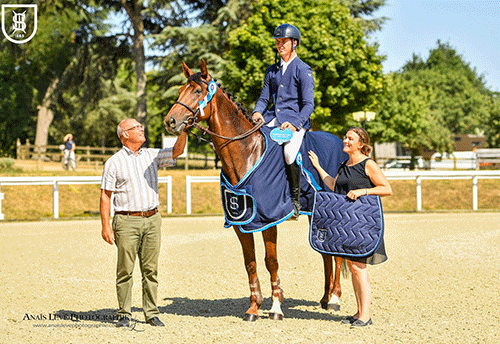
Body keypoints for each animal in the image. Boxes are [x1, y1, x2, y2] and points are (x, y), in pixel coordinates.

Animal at [164, 60, 344, 322]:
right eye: (179, 90)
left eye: (197, 91)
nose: (170, 122)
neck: (246, 151)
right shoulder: (240, 222)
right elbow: (250, 262)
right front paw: (253, 307)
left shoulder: (269, 220)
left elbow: (271, 261)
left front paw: (276, 307)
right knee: (325, 254)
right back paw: (325, 297)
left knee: (337, 253)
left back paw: (335, 299)